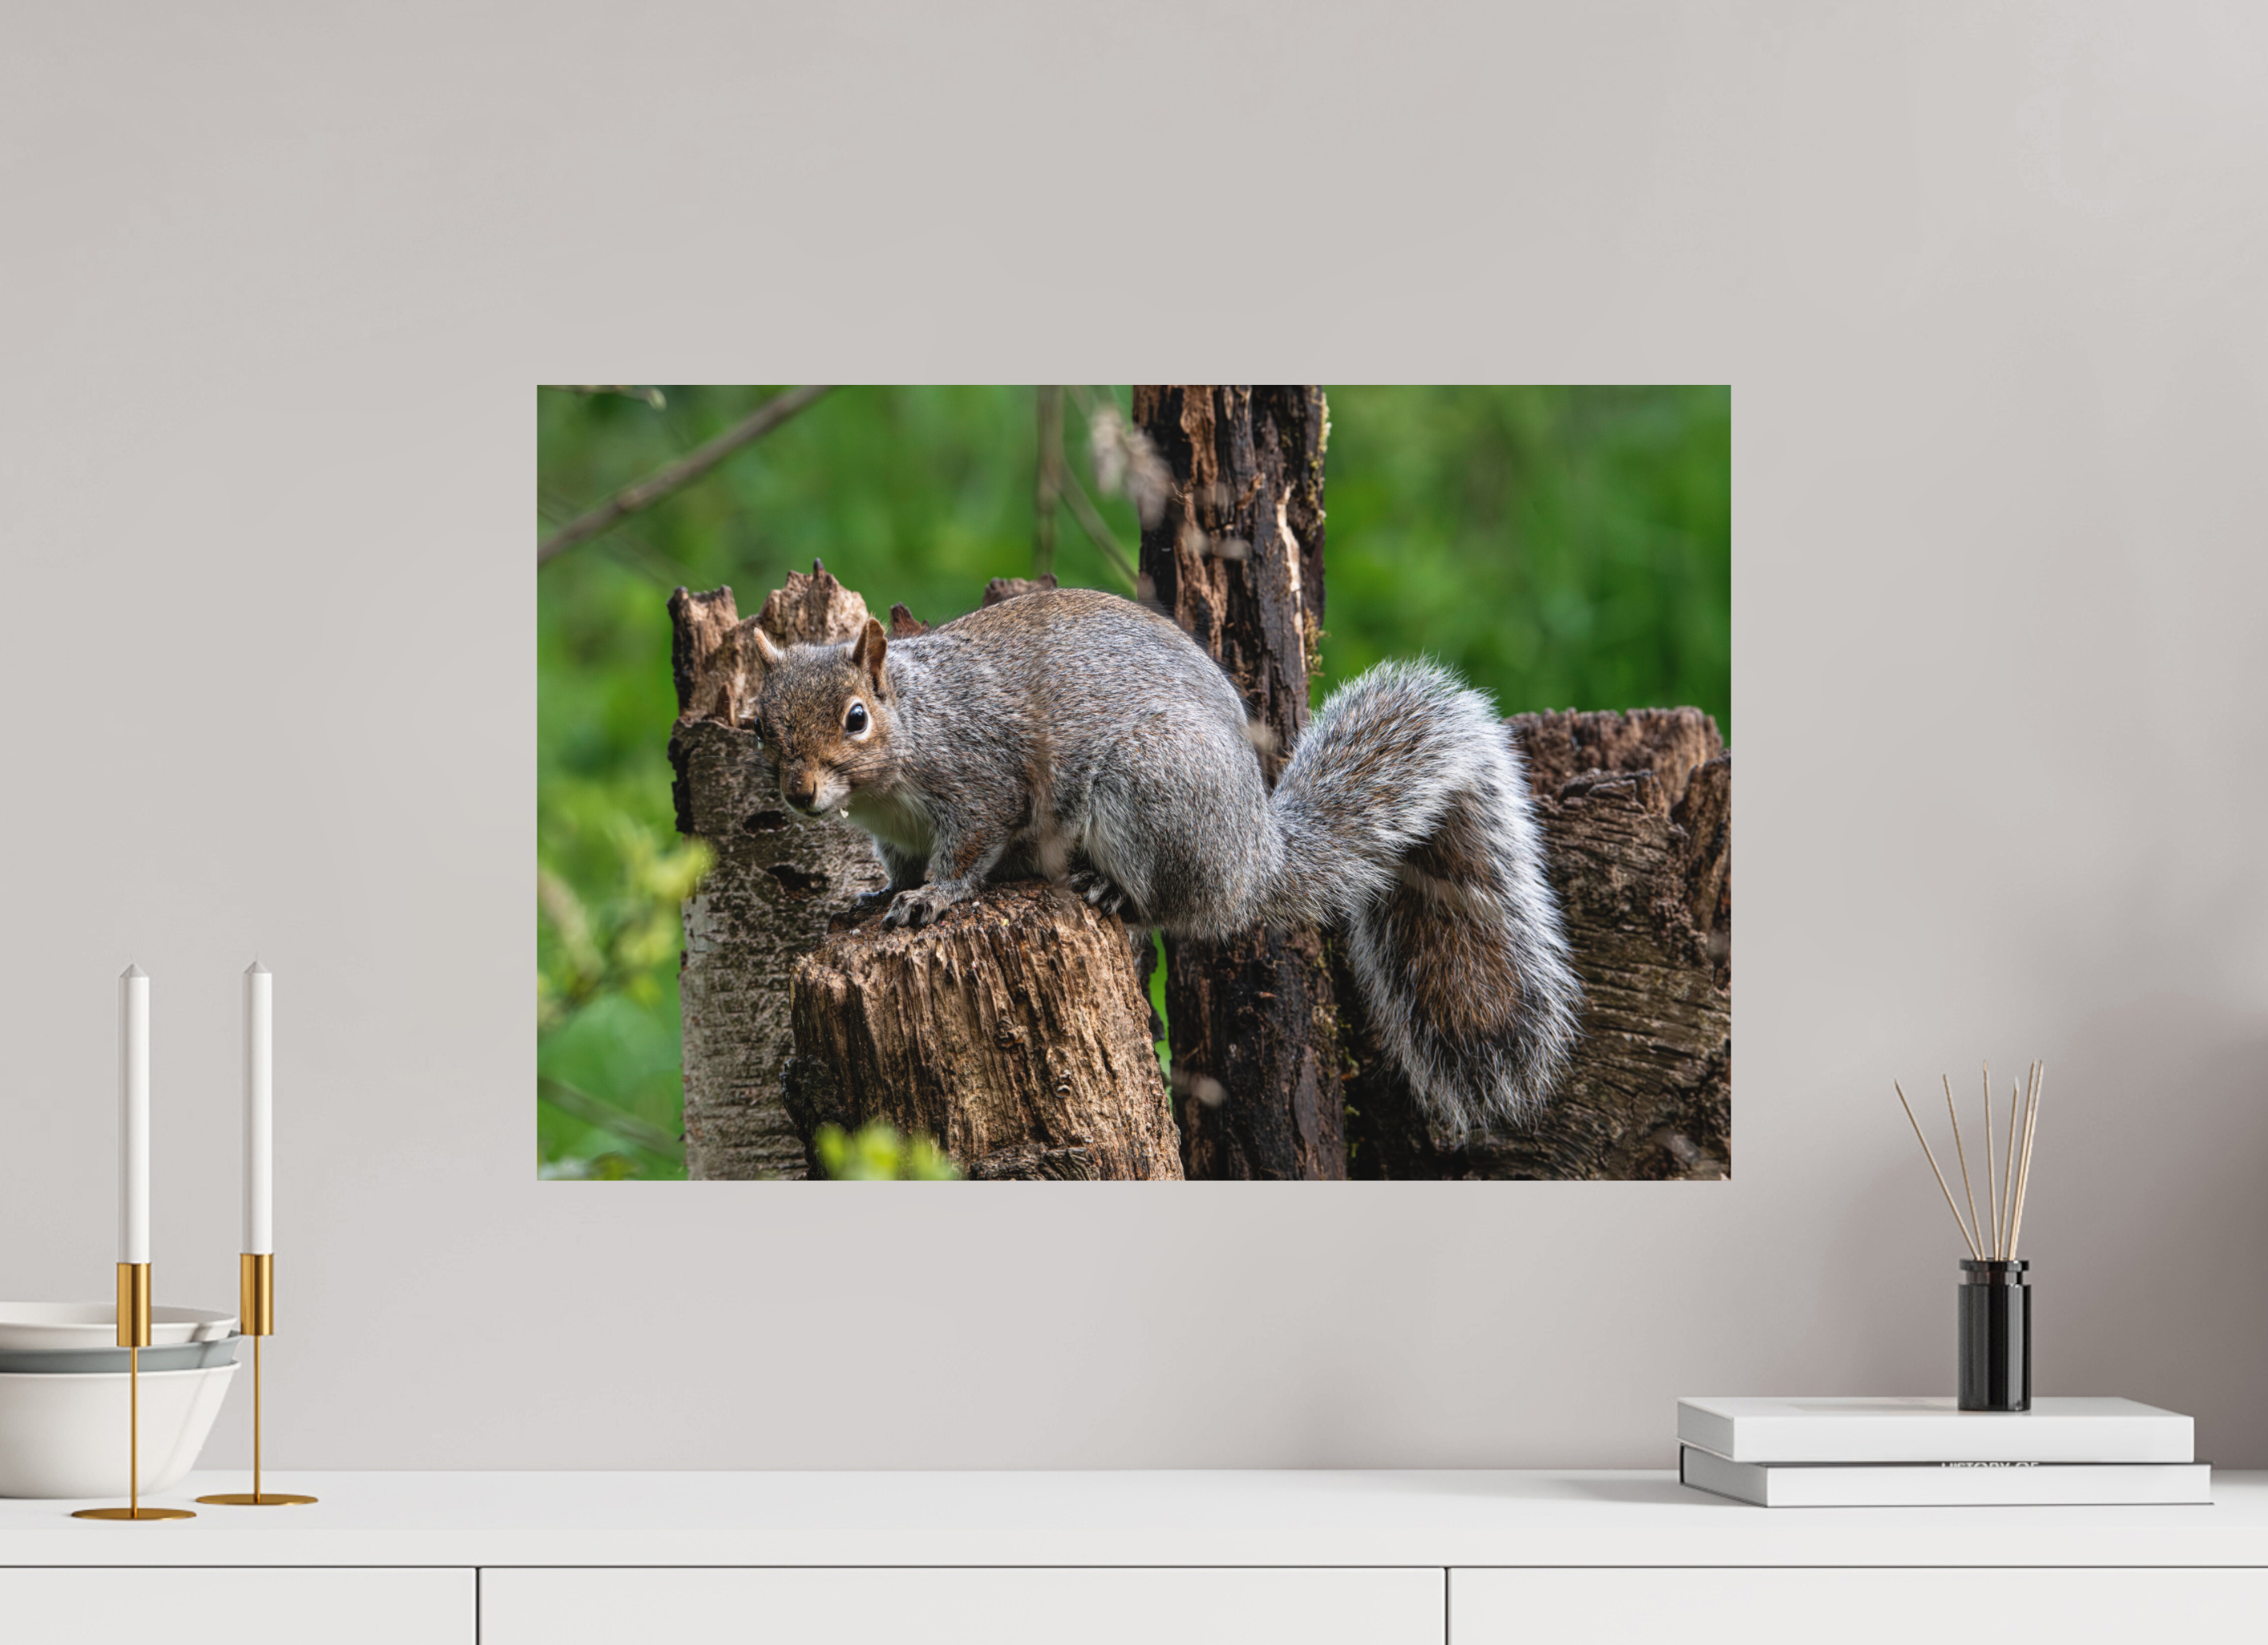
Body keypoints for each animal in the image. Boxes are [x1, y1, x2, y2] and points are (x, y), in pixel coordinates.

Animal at [745, 585, 1581, 1132]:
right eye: (758, 725)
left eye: (856, 718)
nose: (799, 793)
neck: (915, 727)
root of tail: (1253, 861)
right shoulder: (894, 836)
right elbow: (894, 869)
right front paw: (869, 901)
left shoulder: (983, 784)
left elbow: (967, 852)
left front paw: (933, 899)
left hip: (1152, 789)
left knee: (1170, 905)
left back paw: (1113, 892)